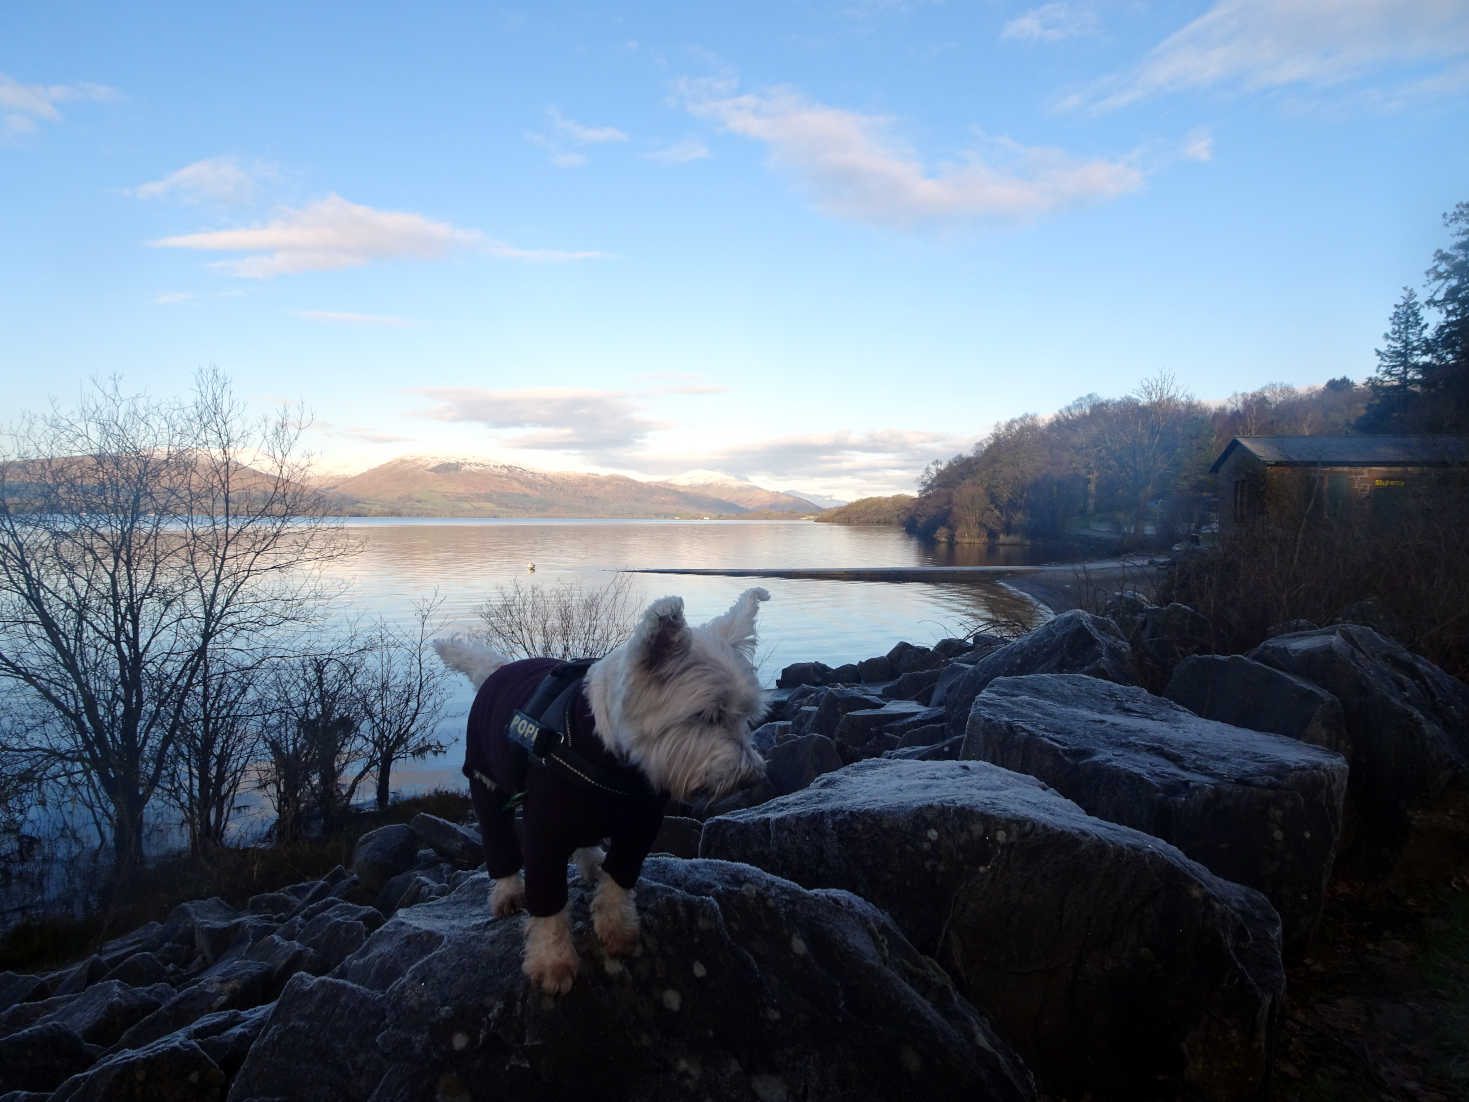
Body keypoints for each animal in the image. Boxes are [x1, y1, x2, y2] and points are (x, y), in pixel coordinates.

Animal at [431, 590, 769, 999]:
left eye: (746, 716)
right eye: (707, 716)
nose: (751, 776)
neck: (613, 761)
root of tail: (498, 669)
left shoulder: (639, 826)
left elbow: (620, 878)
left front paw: (618, 930)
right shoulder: (544, 830)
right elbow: (547, 898)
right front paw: (552, 962)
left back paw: (591, 863)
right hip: (486, 784)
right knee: (500, 844)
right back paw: (508, 892)